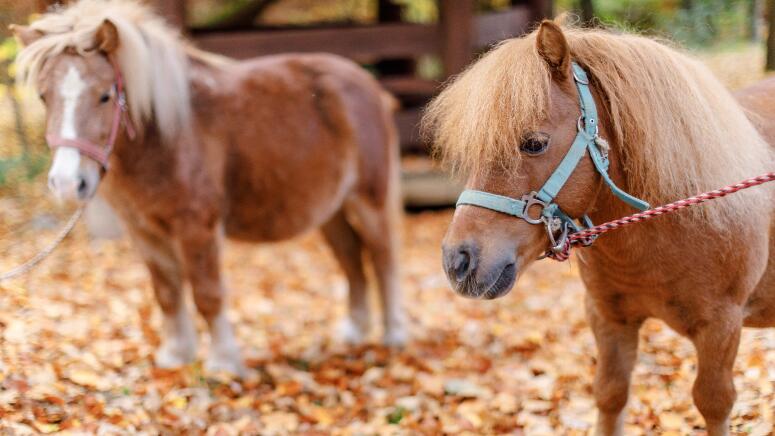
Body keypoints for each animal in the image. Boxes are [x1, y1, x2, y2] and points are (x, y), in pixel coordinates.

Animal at [12, 0, 410, 374]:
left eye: (105, 95)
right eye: (44, 96)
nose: (68, 183)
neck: (168, 137)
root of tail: (369, 86)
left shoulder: (196, 229)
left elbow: (207, 294)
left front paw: (223, 363)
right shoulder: (144, 232)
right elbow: (167, 292)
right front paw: (176, 356)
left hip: (368, 202)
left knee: (383, 257)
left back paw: (394, 334)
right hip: (331, 212)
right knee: (352, 258)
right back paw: (355, 331)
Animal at [424, 19, 775, 436]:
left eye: (534, 143)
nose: (457, 261)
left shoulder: (721, 328)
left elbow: (713, 402)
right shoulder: (609, 319)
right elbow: (610, 394)